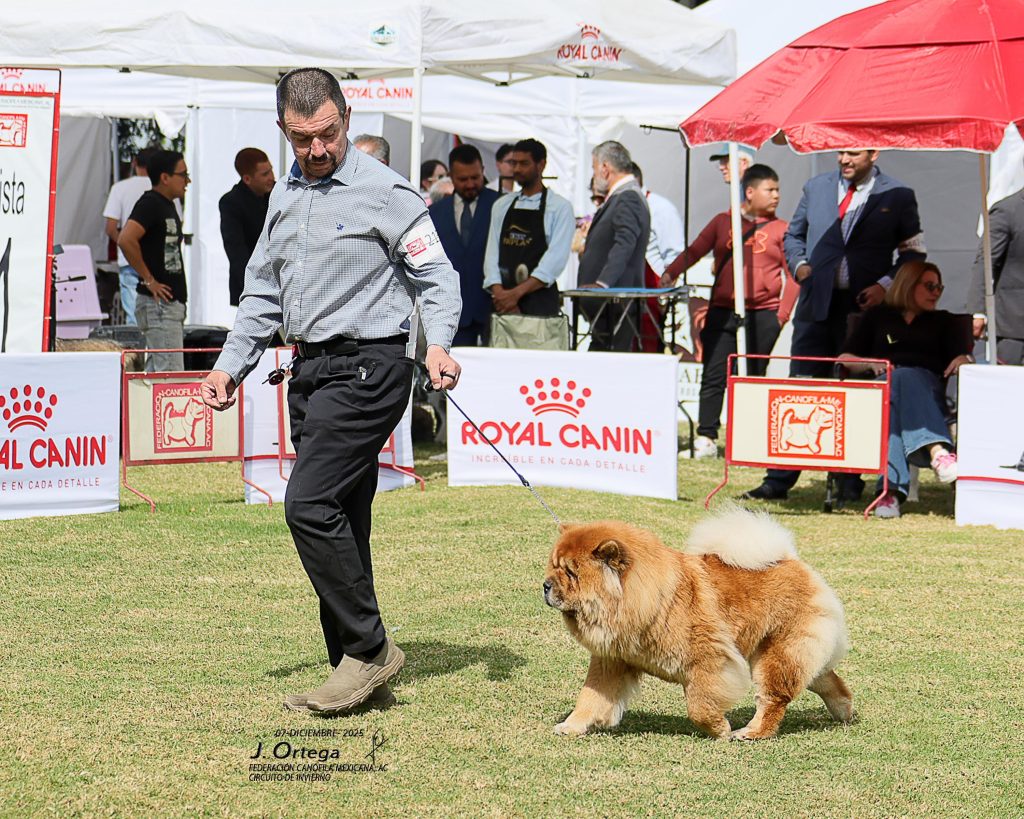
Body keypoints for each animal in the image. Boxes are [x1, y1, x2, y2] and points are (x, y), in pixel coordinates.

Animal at [543, 507, 853, 740]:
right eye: (553, 566)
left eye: (570, 573)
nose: (545, 585)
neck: (651, 600)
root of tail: (790, 560)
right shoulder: (613, 660)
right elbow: (591, 696)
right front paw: (571, 725)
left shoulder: (709, 657)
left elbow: (699, 705)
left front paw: (720, 729)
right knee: (826, 680)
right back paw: (844, 712)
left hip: (777, 655)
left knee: (773, 698)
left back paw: (750, 732)